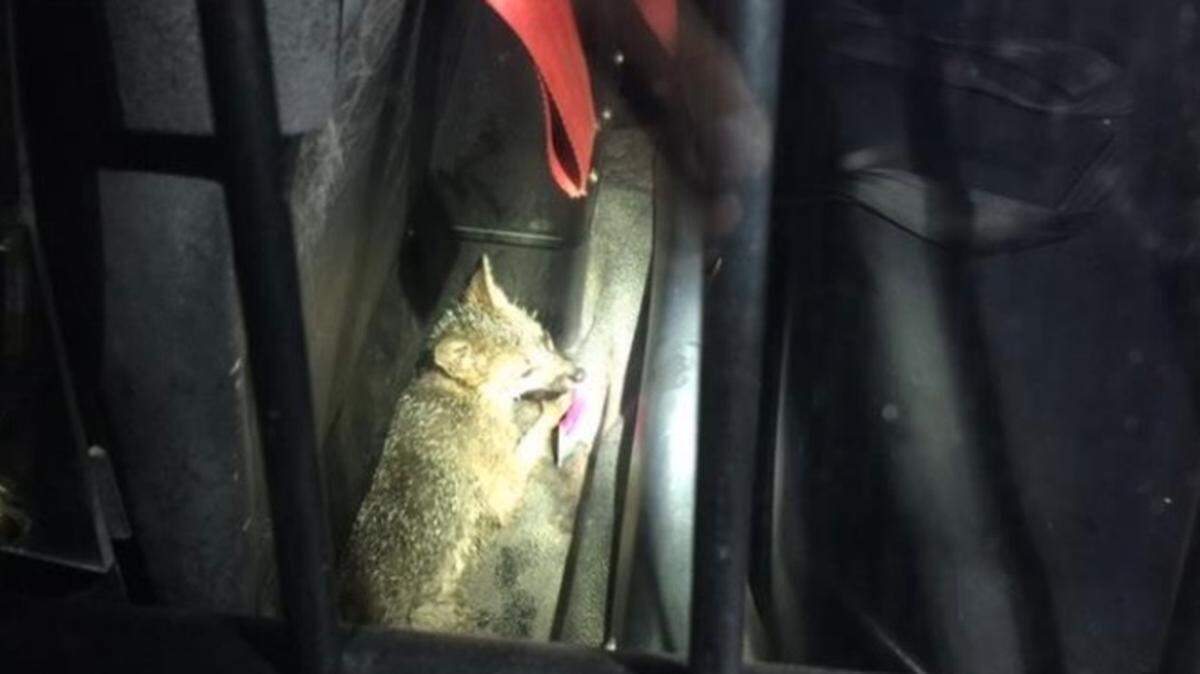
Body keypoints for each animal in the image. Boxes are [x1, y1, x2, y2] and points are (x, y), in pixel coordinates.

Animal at [339, 255, 584, 632]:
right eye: (525, 371)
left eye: (545, 339)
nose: (579, 374)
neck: (464, 391)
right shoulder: (503, 487)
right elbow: (532, 436)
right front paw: (555, 407)